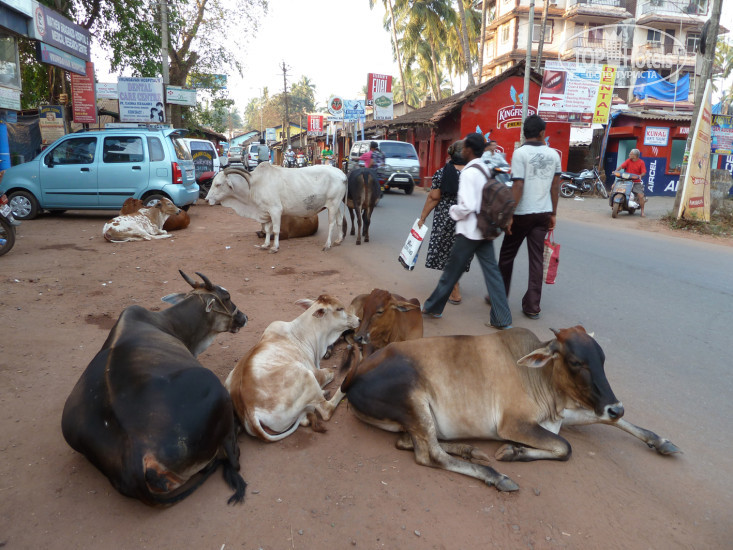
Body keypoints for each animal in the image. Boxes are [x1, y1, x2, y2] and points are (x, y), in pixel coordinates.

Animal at [61, 271, 249, 506]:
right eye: (226, 296)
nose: (244, 317)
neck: (169, 323)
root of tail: (137, 455)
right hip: (217, 392)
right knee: (233, 460)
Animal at [205, 164, 346, 252]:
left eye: (218, 184)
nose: (206, 199)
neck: (255, 185)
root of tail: (341, 174)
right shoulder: (266, 212)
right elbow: (267, 230)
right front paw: (265, 245)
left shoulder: (275, 210)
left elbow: (276, 230)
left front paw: (274, 247)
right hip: (336, 204)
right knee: (339, 221)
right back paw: (339, 240)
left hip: (333, 204)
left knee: (332, 223)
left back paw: (327, 245)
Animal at [226, 295, 359, 442]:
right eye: (339, 309)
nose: (358, 319)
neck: (302, 334)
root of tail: (250, 412)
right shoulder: (316, 373)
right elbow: (331, 372)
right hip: (304, 373)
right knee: (326, 410)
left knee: (305, 419)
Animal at [341, 326, 680, 492]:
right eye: (575, 362)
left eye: (603, 358)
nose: (616, 406)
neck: (540, 377)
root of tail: (352, 379)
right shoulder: (514, 424)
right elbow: (565, 447)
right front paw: (513, 452)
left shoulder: (562, 413)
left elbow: (604, 422)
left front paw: (661, 440)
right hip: (414, 402)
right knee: (430, 454)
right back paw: (495, 475)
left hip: (415, 418)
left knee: (407, 442)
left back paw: (469, 450)